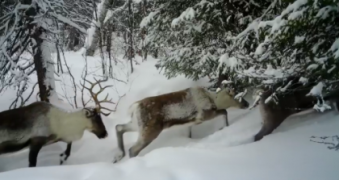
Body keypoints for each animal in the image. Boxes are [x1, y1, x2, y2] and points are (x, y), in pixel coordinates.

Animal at [114, 86, 250, 162]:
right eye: (238, 96)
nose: (247, 104)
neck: (214, 100)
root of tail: (134, 107)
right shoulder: (204, 115)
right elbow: (224, 111)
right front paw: (225, 127)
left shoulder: (191, 122)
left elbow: (189, 133)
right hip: (150, 129)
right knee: (133, 149)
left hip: (138, 125)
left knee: (119, 127)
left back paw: (119, 155)